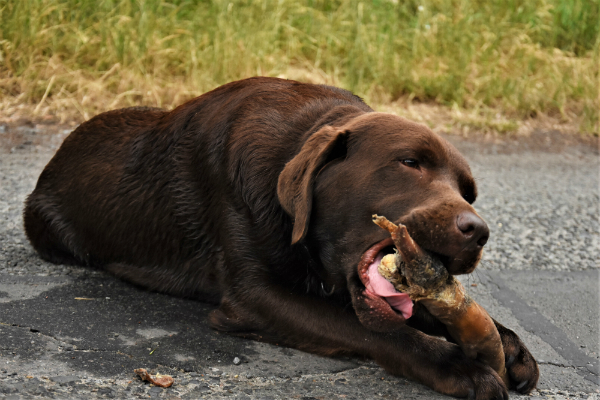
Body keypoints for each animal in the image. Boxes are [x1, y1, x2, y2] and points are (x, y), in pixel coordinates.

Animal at [24, 76, 540, 398]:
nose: (478, 231)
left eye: (468, 191)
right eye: (409, 162)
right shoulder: (256, 296)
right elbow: (375, 328)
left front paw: (508, 342)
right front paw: (456, 365)